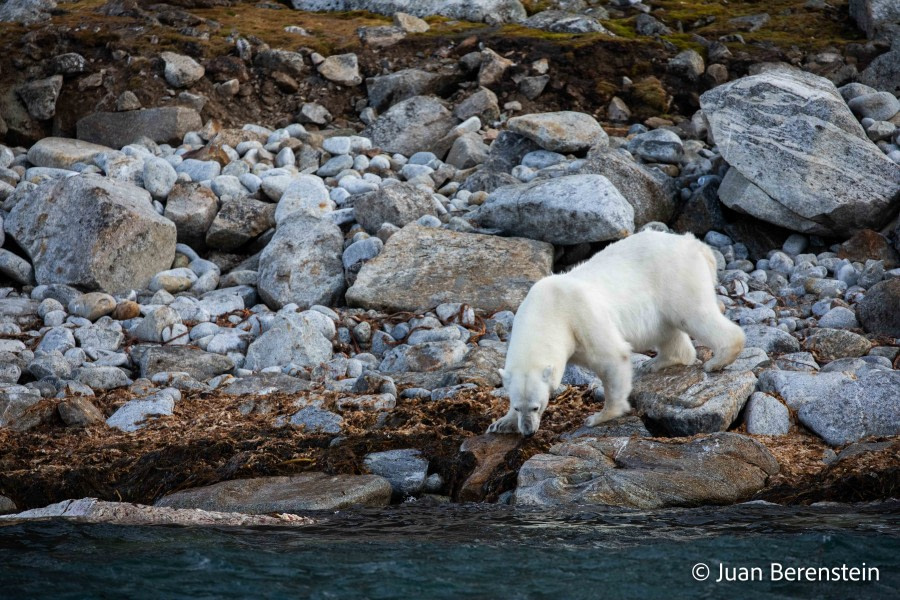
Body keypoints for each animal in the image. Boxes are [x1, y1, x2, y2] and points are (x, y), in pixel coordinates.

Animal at [488, 231, 740, 436]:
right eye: (517, 406)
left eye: (536, 406)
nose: (528, 432)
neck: (548, 309)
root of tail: (696, 245)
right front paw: (501, 423)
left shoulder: (581, 316)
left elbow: (612, 357)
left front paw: (600, 416)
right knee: (668, 331)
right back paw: (656, 362)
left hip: (677, 278)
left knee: (694, 314)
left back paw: (718, 360)